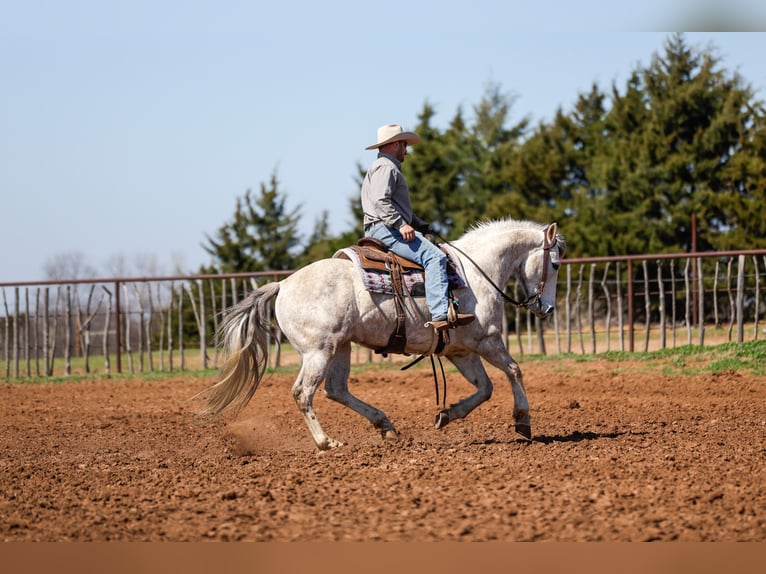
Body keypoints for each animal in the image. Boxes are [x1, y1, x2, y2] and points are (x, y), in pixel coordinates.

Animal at [197, 218, 565, 451]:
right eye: (556, 264)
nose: (546, 308)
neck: (475, 273)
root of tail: (283, 284)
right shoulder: (487, 340)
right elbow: (514, 370)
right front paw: (523, 421)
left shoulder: (460, 351)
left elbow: (485, 388)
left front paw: (447, 415)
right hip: (318, 352)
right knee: (304, 392)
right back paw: (326, 442)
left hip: (340, 348)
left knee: (336, 390)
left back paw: (385, 426)